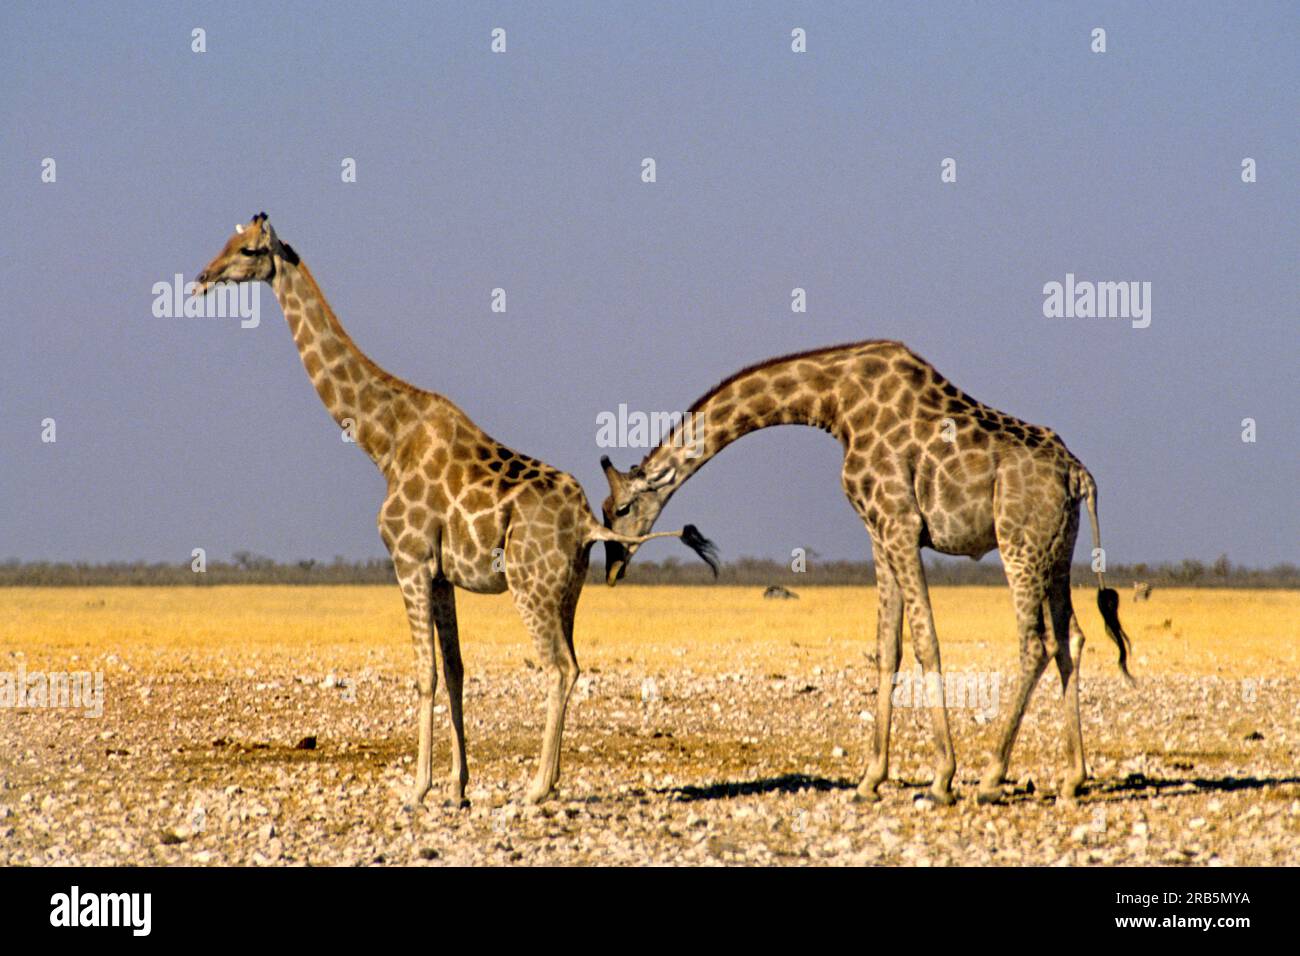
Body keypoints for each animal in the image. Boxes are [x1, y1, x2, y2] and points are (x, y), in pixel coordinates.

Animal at [194, 213, 718, 806]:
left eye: (249, 250)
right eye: (228, 240)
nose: (204, 277)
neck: (384, 440)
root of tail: (587, 522)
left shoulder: (409, 560)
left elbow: (425, 673)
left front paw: (417, 787)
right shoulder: (443, 574)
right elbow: (457, 669)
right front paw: (457, 787)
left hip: (530, 586)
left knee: (559, 667)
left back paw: (536, 788)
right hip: (569, 590)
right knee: (574, 662)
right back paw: (553, 780)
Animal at [599, 339, 1134, 805]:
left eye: (620, 509)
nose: (613, 567)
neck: (835, 405)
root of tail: (1079, 475)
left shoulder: (899, 521)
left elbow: (925, 641)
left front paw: (941, 779)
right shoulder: (878, 530)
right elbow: (887, 648)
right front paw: (870, 779)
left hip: (1017, 543)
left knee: (1035, 642)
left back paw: (990, 779)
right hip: (1056, 549)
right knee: (1071, 639)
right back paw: (1072, 779)